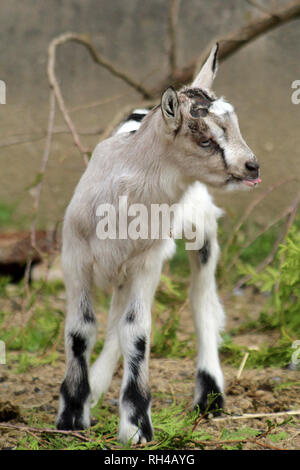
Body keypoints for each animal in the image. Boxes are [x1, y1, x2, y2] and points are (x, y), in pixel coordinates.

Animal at [55, 42, 260, 442]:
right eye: (205, 140)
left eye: (235, 126)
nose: (252, 167)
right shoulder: (76, 257)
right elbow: (81, 330)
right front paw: (72, 416)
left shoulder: (146, 261)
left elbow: (137, 334)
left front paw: (136, 426)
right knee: (117, 315)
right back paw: (97, 387)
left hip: (201, 230)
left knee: (201, 302)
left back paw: (209, 397)